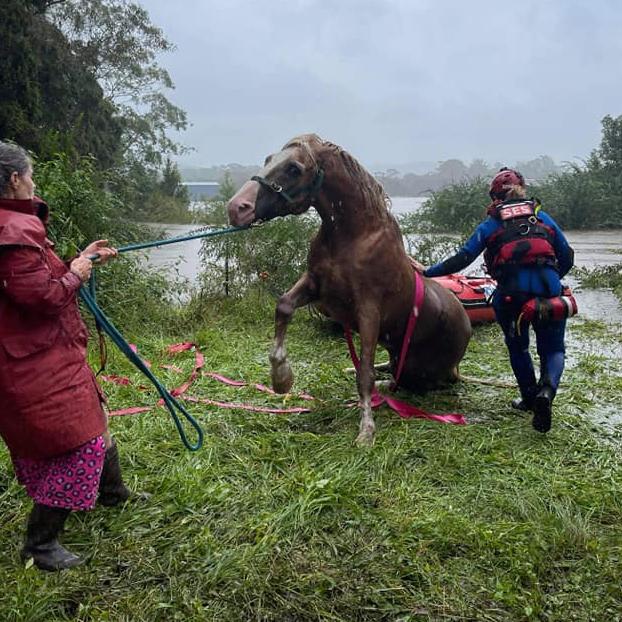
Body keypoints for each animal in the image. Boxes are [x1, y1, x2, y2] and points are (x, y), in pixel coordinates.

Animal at [227, 135, 470, 448]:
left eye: (294, 169)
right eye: (269, 159)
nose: (237, 208)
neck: (353, 237)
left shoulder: (368, 309)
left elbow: (364, 372)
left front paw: (366, 431)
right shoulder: (315, 285)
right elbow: (283, 306)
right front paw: (281, 378)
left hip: (428, 373)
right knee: (392, 373)